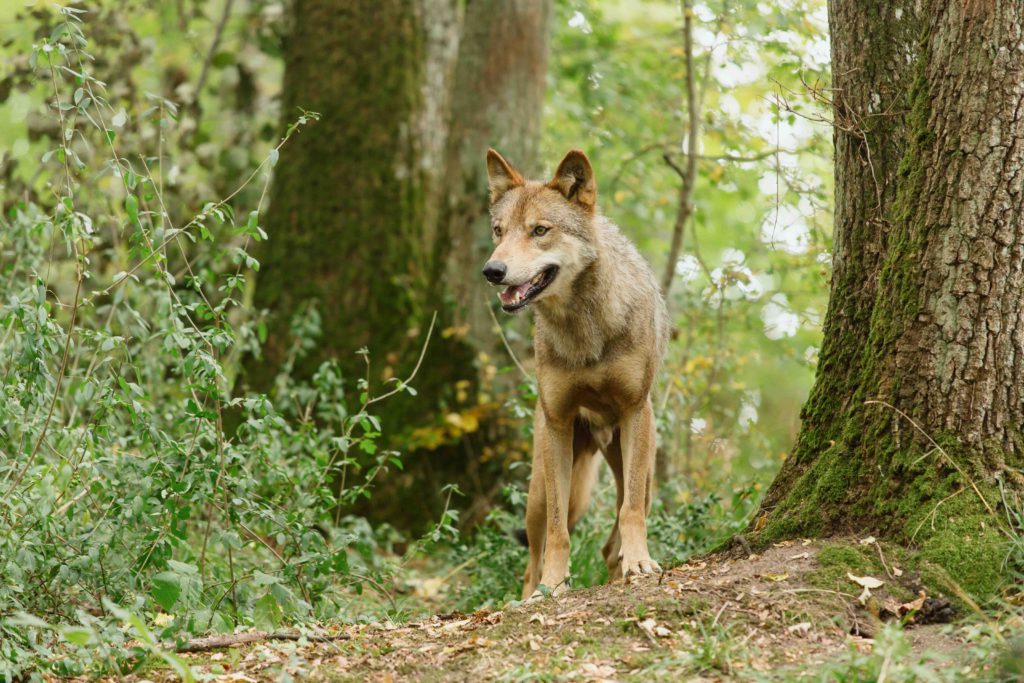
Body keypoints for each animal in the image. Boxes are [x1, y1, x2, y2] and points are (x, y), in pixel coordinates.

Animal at [481, 148, 667, 598]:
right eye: (499, 231)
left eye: (540, 230)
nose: (493, 270)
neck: (584, 330)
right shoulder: (559, 423)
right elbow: (557, 533)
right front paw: (553, 586)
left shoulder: (636, 410)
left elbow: (630, 511)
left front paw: (640, 563)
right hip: (541, 486)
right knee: (533, 555)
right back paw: (528, 595)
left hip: (640, 465)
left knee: (616, 531)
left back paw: (622, 565)